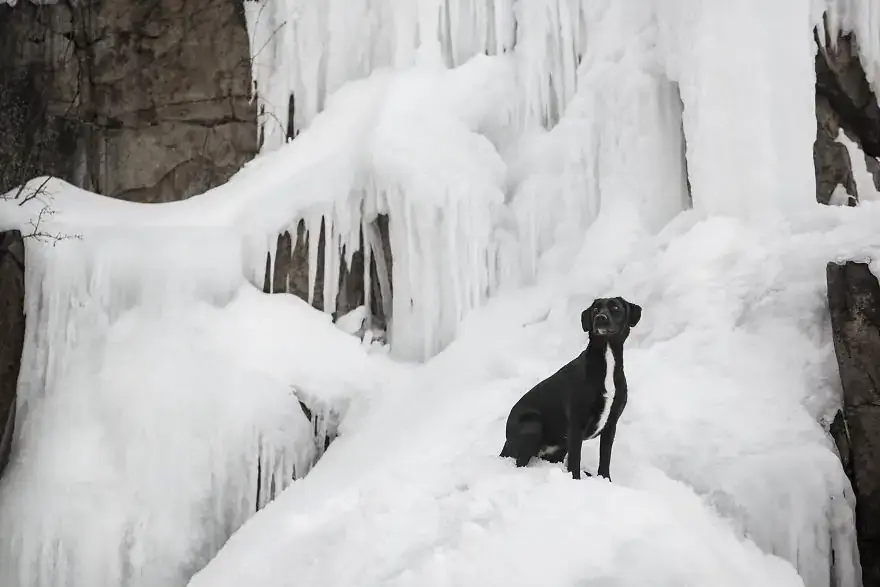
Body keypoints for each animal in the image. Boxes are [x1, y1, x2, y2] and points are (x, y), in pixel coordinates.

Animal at [502, 296, 640, 480]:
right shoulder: (576, 423)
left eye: (616, 308)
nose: (600, 318)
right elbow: (575, 461)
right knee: (520, 462)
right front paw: (576, 481)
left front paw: (605, 481)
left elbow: (605, 459)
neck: (607, 361)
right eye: (595, 309)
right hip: (533, 424)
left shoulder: (611, 424)